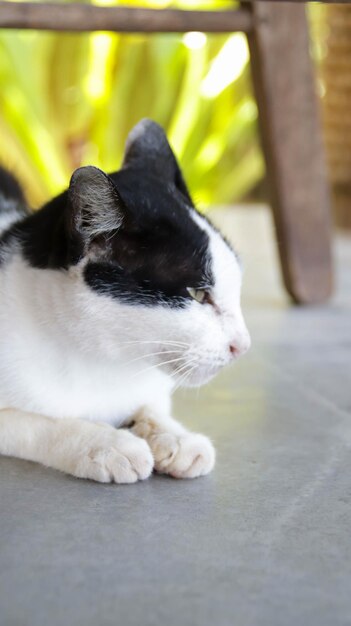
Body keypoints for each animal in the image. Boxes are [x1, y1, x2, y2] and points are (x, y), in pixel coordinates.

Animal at [1, 118, 252, 482]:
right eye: (197, 293)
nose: (242, 346)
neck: (103, 357)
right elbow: (37, 423)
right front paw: (105, 444)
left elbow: (151, 405)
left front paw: (175, 436)